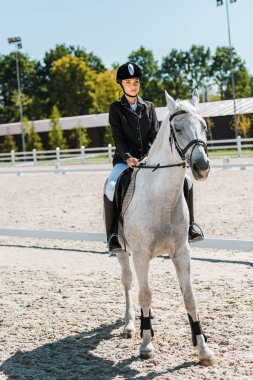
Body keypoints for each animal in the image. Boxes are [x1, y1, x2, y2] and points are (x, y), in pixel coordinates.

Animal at [116, 89, 215, 366]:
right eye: (177, 129)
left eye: (204, 127)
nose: (202, 167)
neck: (162, 196)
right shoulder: (140, 255)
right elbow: (145, 295)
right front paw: (146, 344)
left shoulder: (181, 253)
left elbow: (190, 298)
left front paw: (202, 348)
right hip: (122, 251)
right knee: (129, 283)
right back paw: (131, 325)